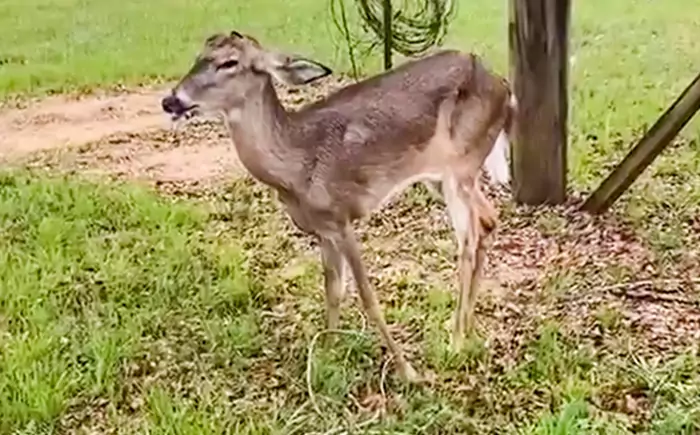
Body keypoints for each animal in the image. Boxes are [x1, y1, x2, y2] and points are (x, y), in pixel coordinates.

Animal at [161, 30, 515, 383]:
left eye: (229, 62)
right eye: (198, 55)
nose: (171, 101)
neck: (296, 166)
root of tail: (504, 89)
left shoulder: (342, 217)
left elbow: (367, 296)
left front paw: (408, 372)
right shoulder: (323, 229)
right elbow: (332, 291)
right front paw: (326, 354)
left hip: (461, 164)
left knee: (469, 239)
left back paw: (455, 340)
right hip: (442, 176)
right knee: (488, 220)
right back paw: (468, 330)